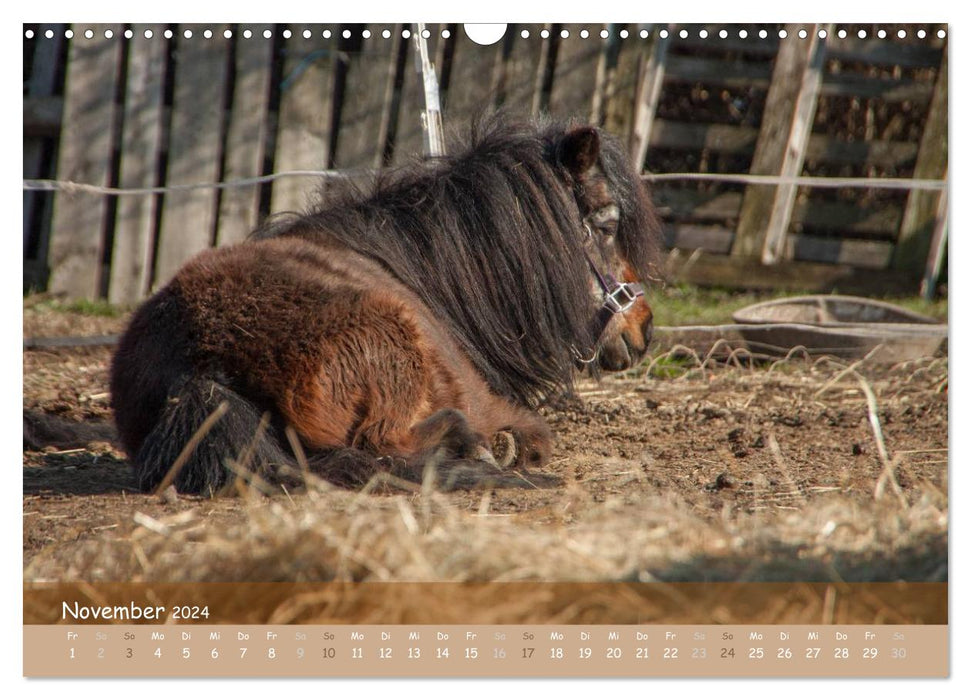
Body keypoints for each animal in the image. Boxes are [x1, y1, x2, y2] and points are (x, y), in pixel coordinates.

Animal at [112, 117, 660, 492]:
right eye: (607, 226)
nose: (646, 328)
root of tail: (200, 361)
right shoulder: (497, 407)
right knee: (389, 446)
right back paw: (472, 447)